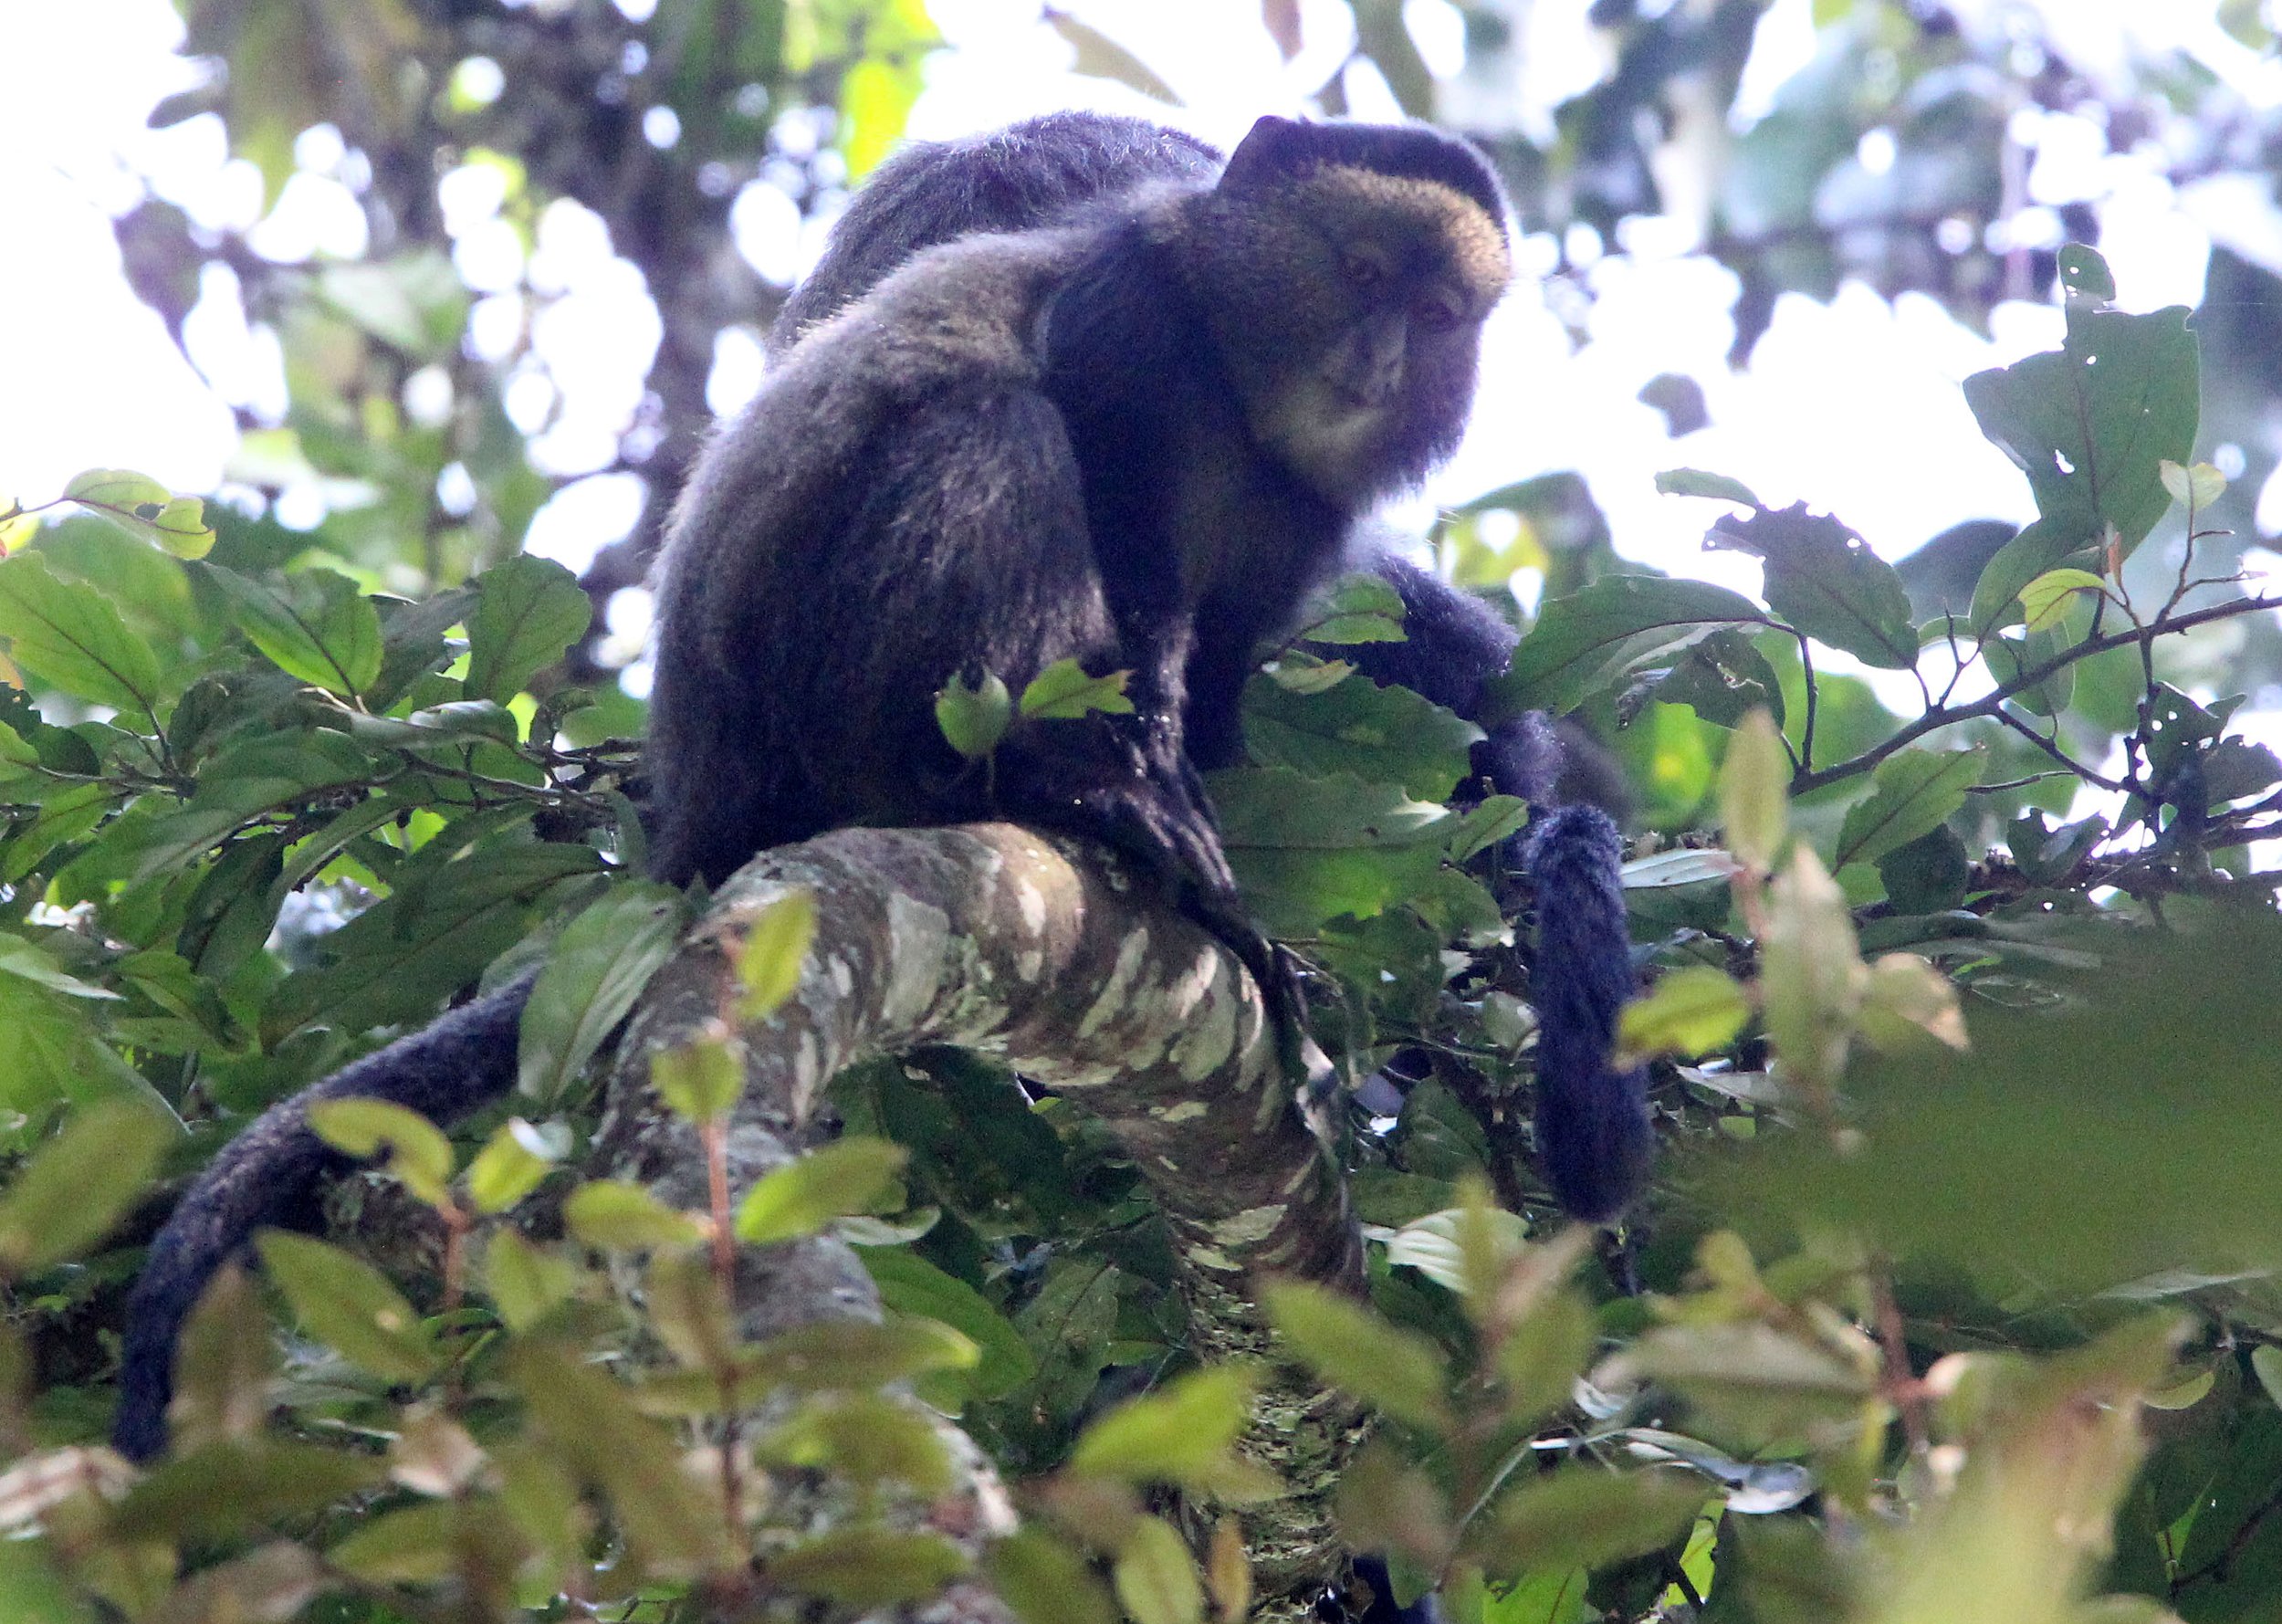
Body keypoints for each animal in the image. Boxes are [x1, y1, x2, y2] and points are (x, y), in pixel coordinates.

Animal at [115, 114, 1648, 1465]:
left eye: (1437, 308)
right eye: (1359, 270)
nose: (1380, 356)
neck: (1238, 391)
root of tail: (698, 805)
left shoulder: (1298, 519)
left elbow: (1220, 675)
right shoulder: (1137, 316)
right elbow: (1113, 513)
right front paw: (1139, 802)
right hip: (819, 673)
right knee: (998, 426)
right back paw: (1069, 797)